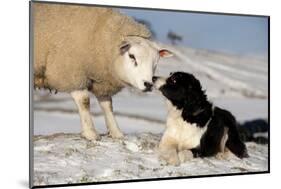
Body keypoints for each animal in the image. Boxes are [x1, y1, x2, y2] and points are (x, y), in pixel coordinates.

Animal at [31, 2, 172, 141]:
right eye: (132, 56)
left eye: (156, 62)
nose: (148, 84)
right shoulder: (71, 73)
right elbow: (84, 101)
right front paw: (90, 133)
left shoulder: (102, 82)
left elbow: (108, 106)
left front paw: (116, 132)